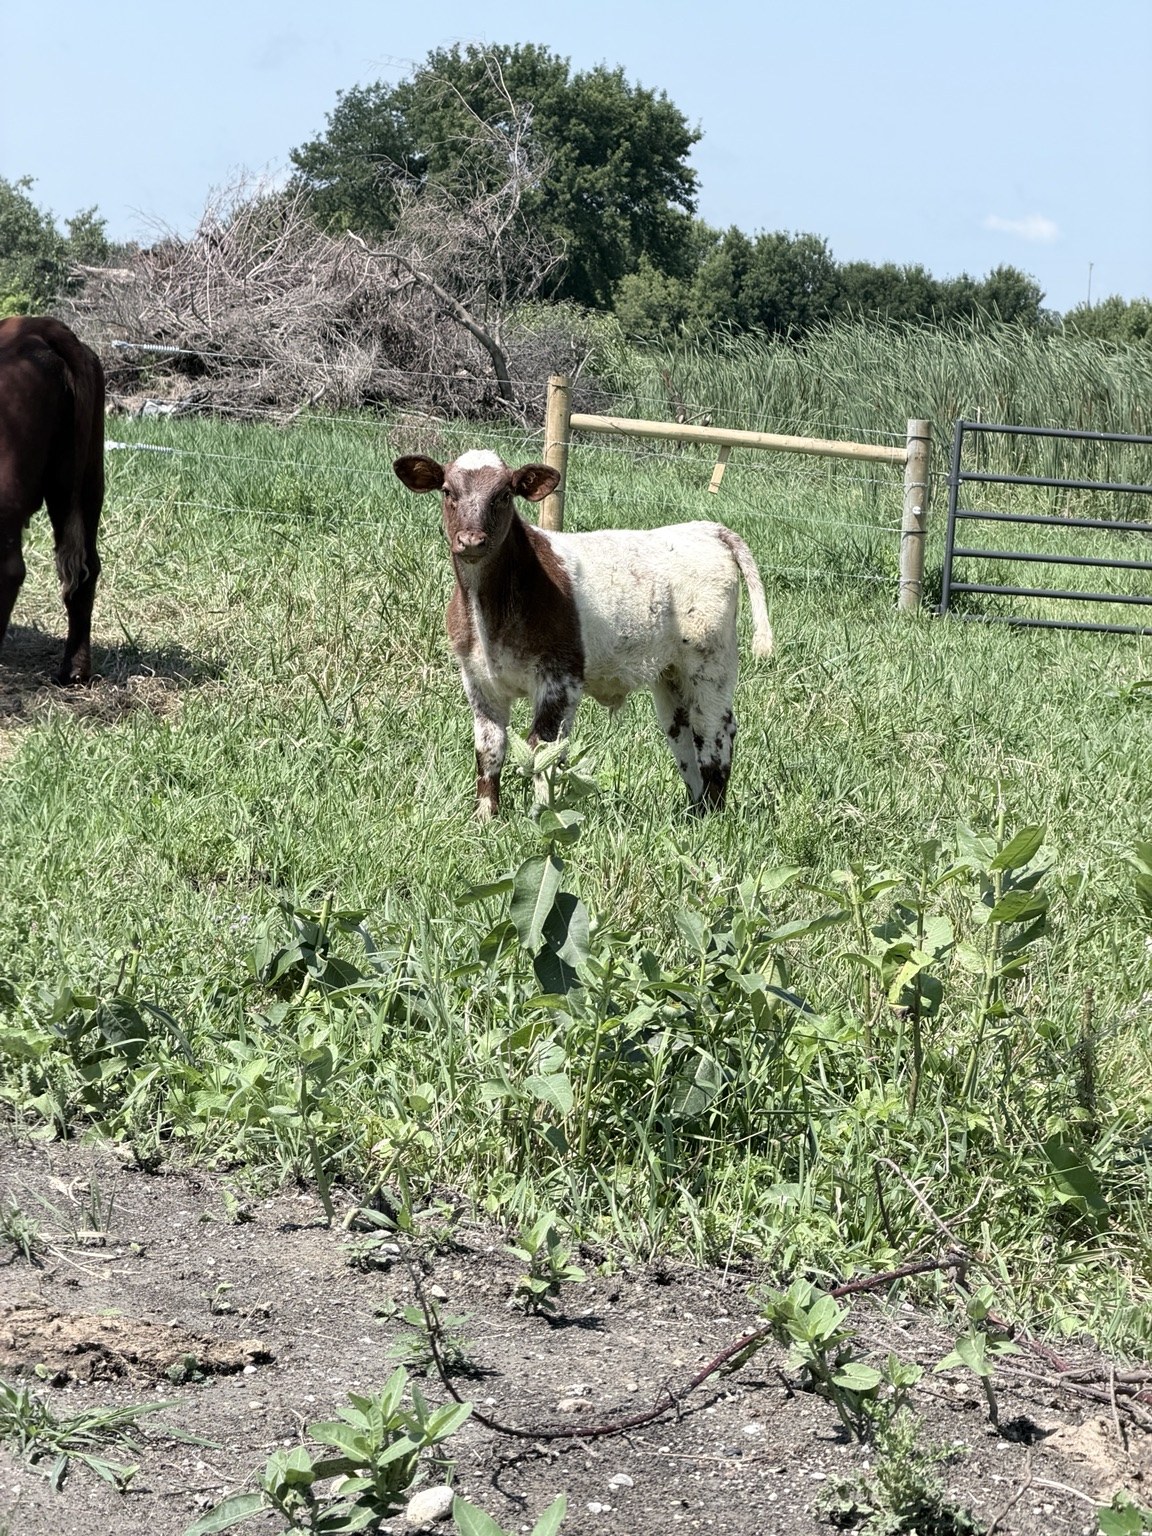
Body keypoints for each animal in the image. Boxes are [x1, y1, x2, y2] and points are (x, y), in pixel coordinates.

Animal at [393, 448, 774, 819]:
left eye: (503, 495)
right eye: (447, 492)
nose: (471, 540)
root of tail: (707, 530)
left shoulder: (561, 677)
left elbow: (544, 749)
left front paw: (542, 816)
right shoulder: (478, 679)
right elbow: (489, 749)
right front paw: (485, 819)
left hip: (710, 661)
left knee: (714, 729)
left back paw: (713, 813)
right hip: (671, 672)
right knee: (681, 730)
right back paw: (694, 812)